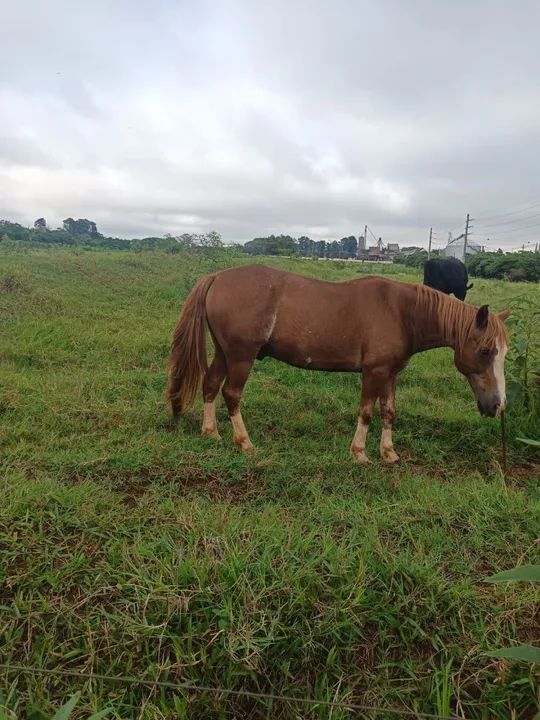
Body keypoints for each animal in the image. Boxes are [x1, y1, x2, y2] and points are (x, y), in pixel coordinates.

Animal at [167, 264, 510, 463]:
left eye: (504, 353)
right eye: (485, 351)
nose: (497, 405)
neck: (402, 312)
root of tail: (218, 277)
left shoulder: (391, 374)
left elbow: (389, 412)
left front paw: (388, 453)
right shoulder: (373, 373)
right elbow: (367, 412)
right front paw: (359, 453)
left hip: (225, 353)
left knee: (211, 385)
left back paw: (211, 433)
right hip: (241, 356)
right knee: (232, 394)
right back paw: (244, 443)